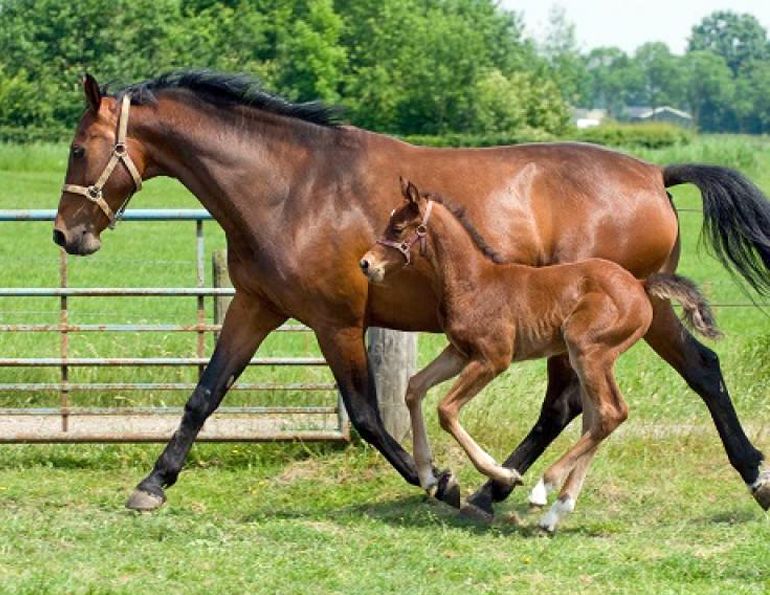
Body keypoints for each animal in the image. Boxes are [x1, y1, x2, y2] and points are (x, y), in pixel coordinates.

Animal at [361, 179, 722, 531]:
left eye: (398, 227)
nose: (366, 263)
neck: (474, 282)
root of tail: (640, 285)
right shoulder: (460, 353)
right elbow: (415, 387)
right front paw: (429, 477)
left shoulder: (493, 359)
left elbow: (446, 410)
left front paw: (503, 474)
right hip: (589, 358)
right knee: (596, 419)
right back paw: (555, 513)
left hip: (586, 349)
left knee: (611, 413)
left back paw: (542, 490)